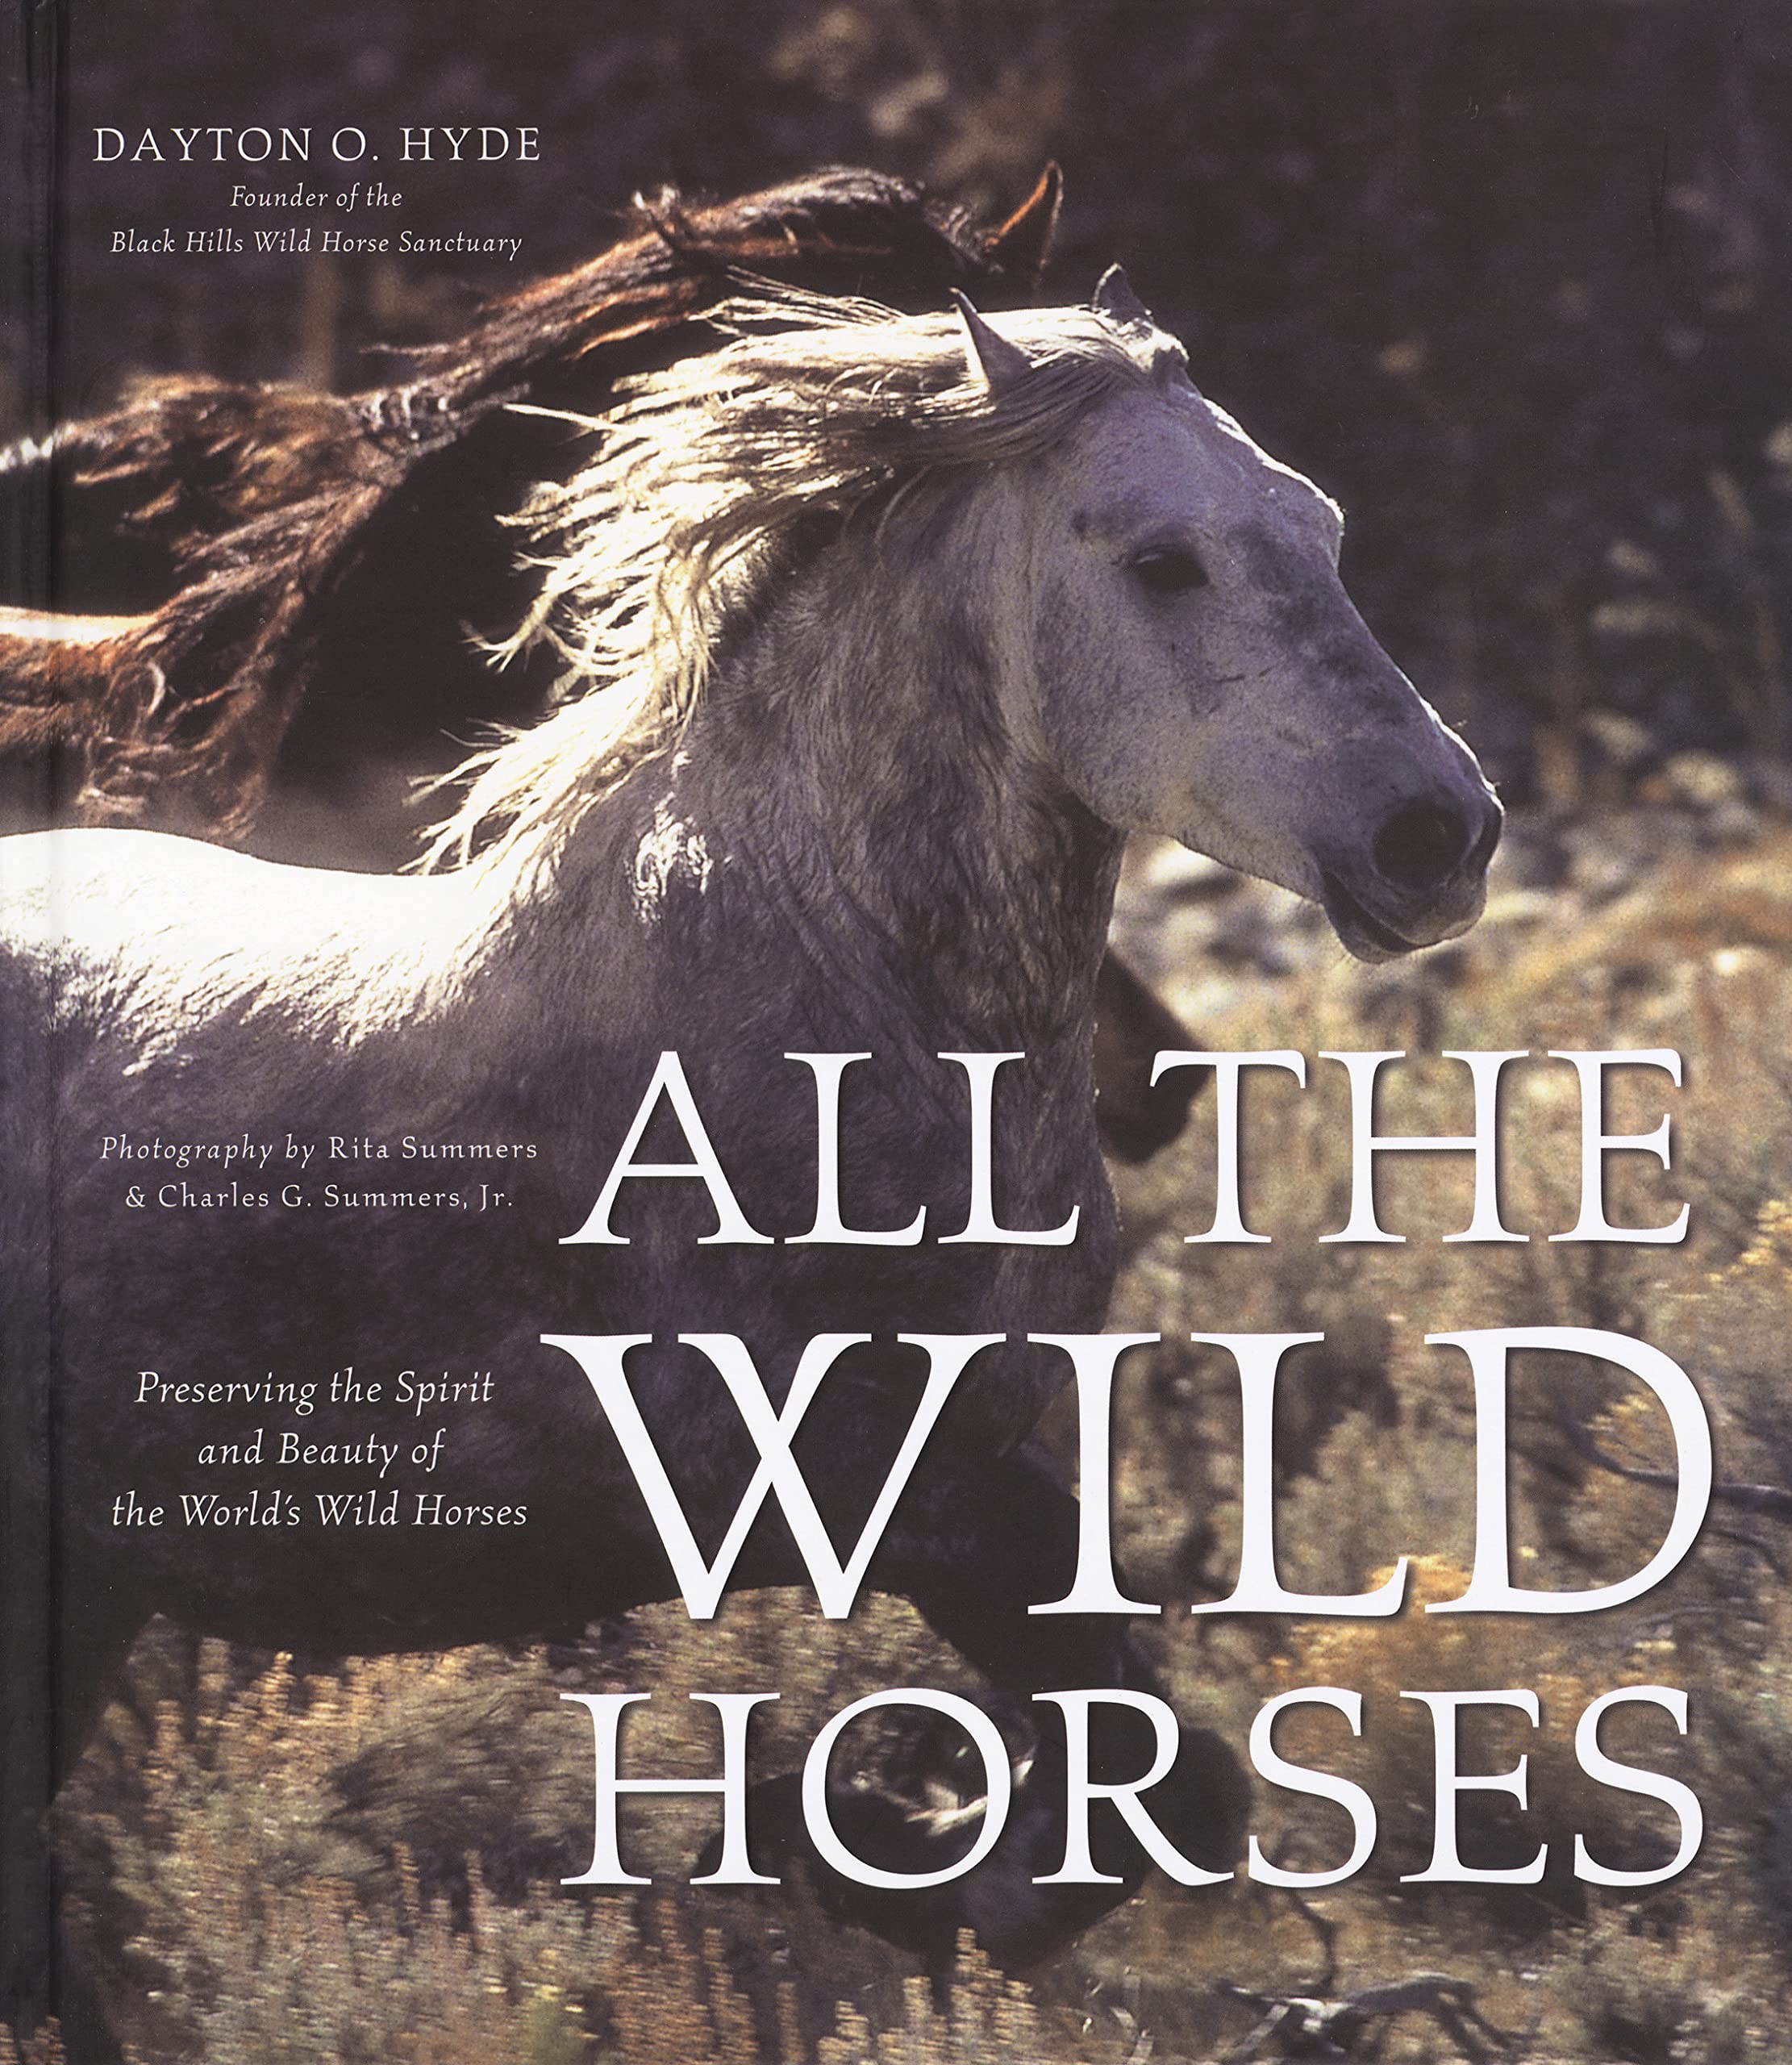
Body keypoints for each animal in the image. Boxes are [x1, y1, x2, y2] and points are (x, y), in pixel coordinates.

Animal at [0, 273, 1501, 2041]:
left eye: (1316, 523)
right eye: (1159, 560)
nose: (1439, 836)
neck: (825, 990)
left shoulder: (996, 1463)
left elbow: (1164, 1773)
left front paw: (895, 1850)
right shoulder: (871, 1491)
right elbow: (1161, 1773)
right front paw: (870, 1845)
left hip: (88, 1586)